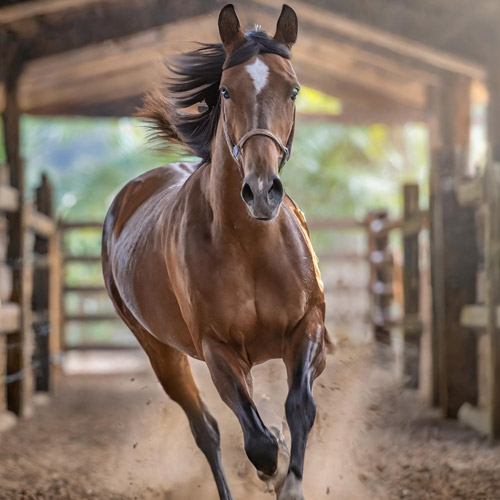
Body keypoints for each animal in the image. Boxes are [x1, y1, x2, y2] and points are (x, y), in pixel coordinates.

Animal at [101, 4, 328, 500]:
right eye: (226, 89)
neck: (251, 246)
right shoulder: (218, 351)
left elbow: (299, 408)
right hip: (161, 351)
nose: (261, 191)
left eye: (294, 89)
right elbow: (258, 442)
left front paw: (291, 478)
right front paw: (274, 470)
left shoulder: (308, 327)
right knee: (206, 430)